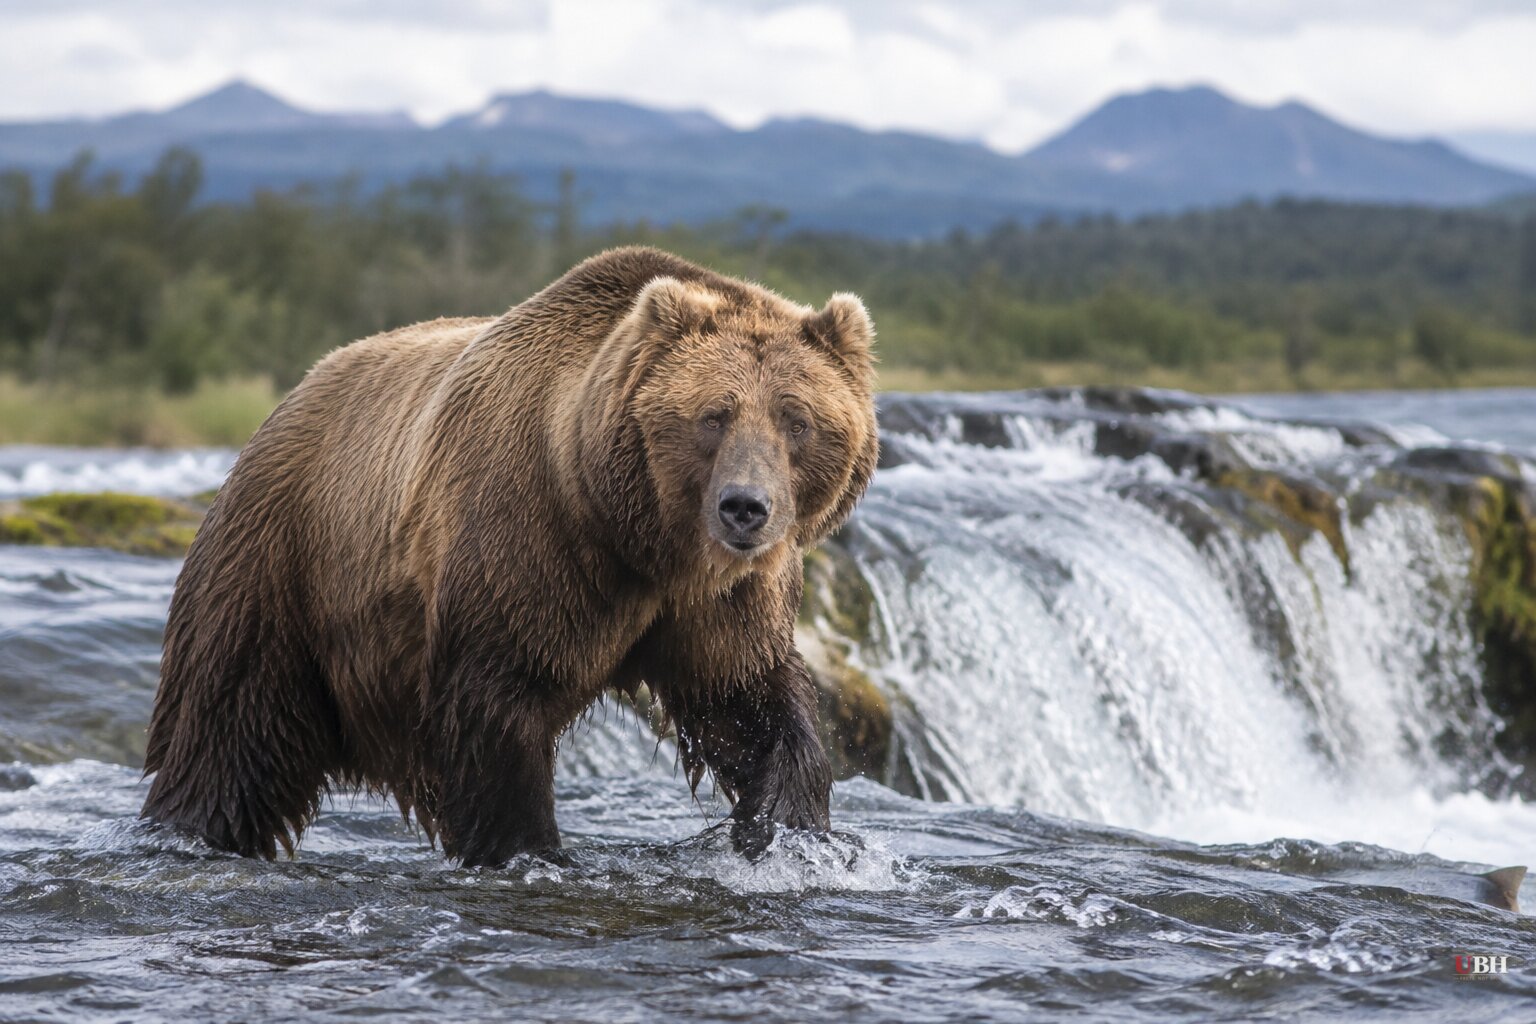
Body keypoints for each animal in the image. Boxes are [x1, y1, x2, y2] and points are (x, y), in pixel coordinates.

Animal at [139, 246, 879, 867]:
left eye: (797, 420)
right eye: (713, 416)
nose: (745, 507)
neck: (636, 537)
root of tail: (292, 397)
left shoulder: (716, 599)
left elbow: (746, 695)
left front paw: (784, 827)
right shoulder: (527, 539)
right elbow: (498, 705)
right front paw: (529, 851)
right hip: (281, 564)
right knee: (230, 723)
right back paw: (192, 828)